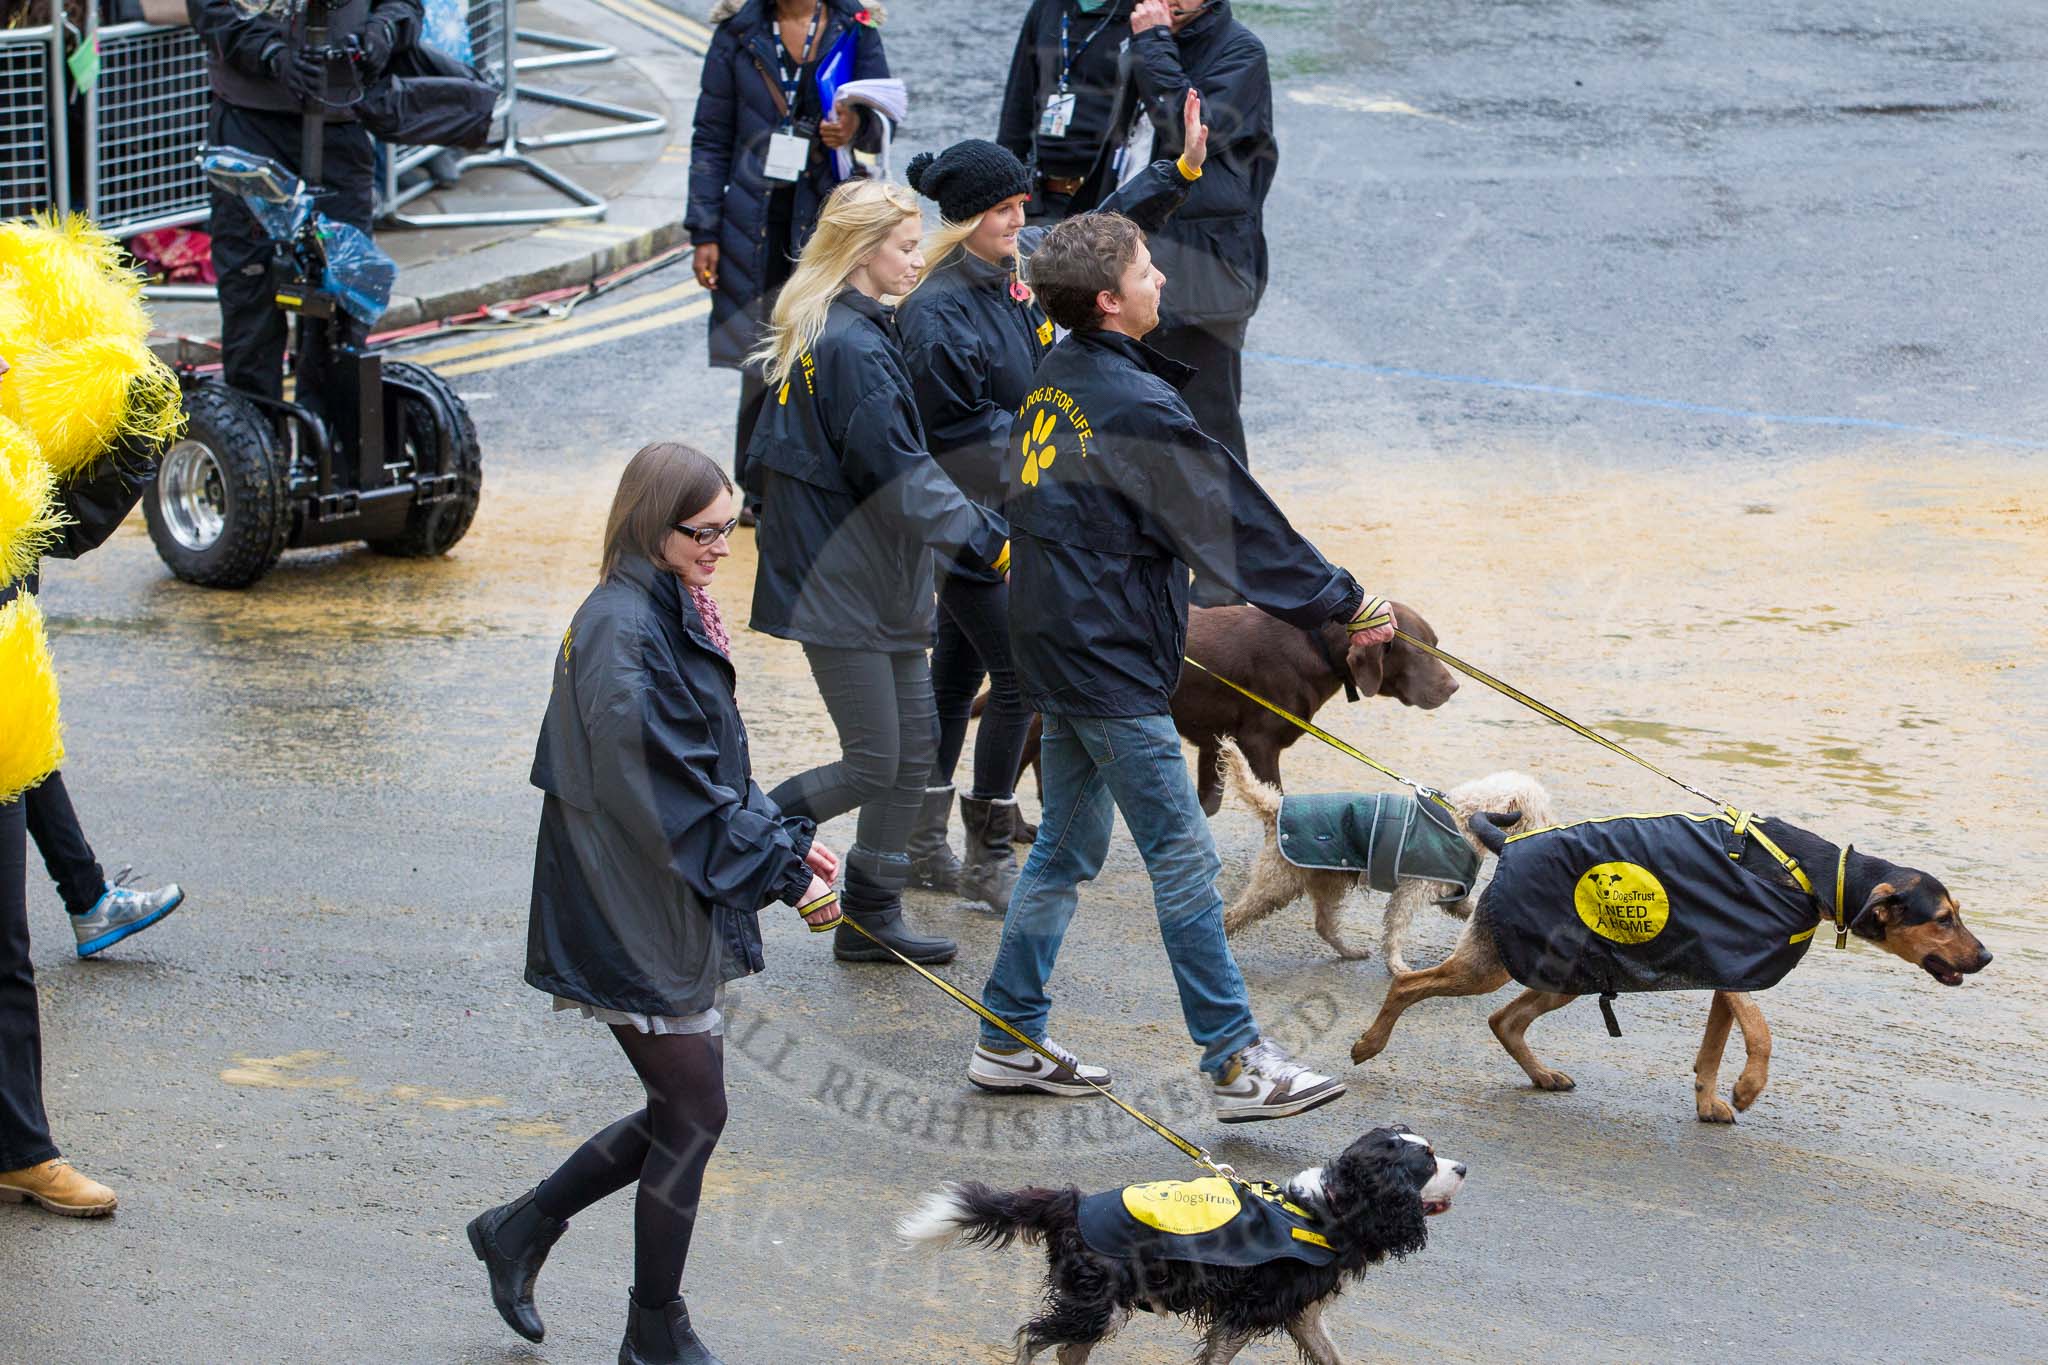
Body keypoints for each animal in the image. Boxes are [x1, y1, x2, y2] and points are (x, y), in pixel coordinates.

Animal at [1212, 740, 1548, 978]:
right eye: (1540, 810)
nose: (1551, 828)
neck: (1462, 818)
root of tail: (1274, 806)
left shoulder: (1450, 894)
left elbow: (1471, 909)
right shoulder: (1411, 892)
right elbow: (1396, 928)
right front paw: (1397, 966)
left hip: (1327, 882)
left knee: (1324, 925)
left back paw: (1350, 952)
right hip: (1277, 883)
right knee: (1232, 916)